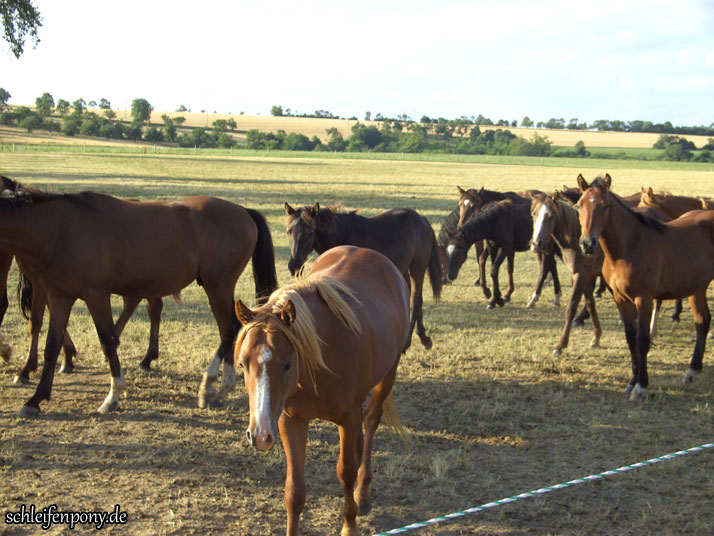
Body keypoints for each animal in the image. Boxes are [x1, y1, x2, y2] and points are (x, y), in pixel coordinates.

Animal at [0, 174, 276, 416]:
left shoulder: (96, 295)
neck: (61, 229)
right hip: (218, 286)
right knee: (228, 328)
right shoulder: (60, 296)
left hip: (217, 284)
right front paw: (35, 399)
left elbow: (107, 340)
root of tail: (243, 211)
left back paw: (209, 385)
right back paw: (223, 388)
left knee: (228, 328)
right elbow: (51, 346)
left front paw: (113, 396)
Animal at [236, 246, 408, 536]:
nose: (260, 435)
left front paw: (349, 525)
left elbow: (346, 472)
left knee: (370, 421)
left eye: (287, 364)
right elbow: (294, 491)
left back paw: (363, 492)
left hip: (388, 374)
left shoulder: (347, 418)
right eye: (243, 363)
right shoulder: (290, 420)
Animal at [576, 174, 712, 400]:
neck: (629, 247)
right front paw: (632, 382)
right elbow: (630, 338)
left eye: (605, 206)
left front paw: (641, 386)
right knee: (702, 321)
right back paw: (692, 371)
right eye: (579, 205)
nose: (588, 244)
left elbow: (642, 340)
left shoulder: (644, 299)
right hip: (697, 287)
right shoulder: (621, 299)